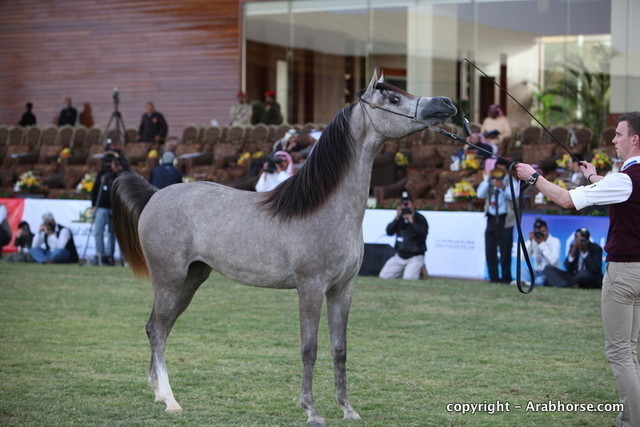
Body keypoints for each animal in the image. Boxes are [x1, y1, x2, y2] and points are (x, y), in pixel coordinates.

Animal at [111, 70, 456, 426]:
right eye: (393, 98)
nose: (446, 104)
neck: (324, 209)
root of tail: (155, 194)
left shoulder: (343, 289)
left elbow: (339, 348)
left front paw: (347, 409)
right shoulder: (311, 288)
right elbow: (309, 348)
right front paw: (312, 411)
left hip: (191, 279)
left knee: (159, 328)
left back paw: (157, 392)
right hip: (169, 279)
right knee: (157, 329)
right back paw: (170, 400)